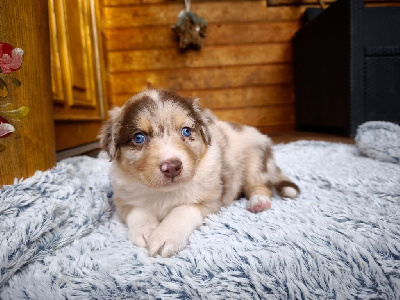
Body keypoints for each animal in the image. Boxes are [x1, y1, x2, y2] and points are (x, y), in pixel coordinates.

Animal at [99, 89, 300, 258]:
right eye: (139, 137)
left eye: (186, 131)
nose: (172, 167)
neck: (164, 193)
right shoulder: (123, 198)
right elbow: (138, 211)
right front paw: (145, 231)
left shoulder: (210, 200)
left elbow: (182, 210)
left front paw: (164, 236)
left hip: (255, 162)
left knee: (262, 186)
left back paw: (258, 202)